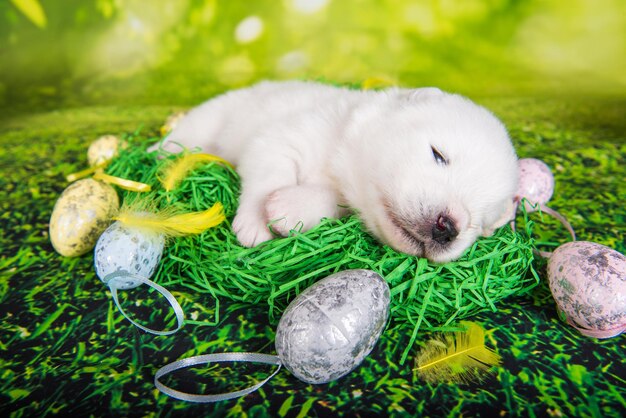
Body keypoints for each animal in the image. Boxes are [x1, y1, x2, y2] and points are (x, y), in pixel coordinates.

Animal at [154, 81, 516, 262]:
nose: (448, 227)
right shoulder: (282, 137)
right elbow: (268, 175)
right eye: (438, 155)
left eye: (478, 222)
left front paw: (288, 209)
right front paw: (256, 224)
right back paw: (159, 151)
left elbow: (327, 201)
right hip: (214, 115)